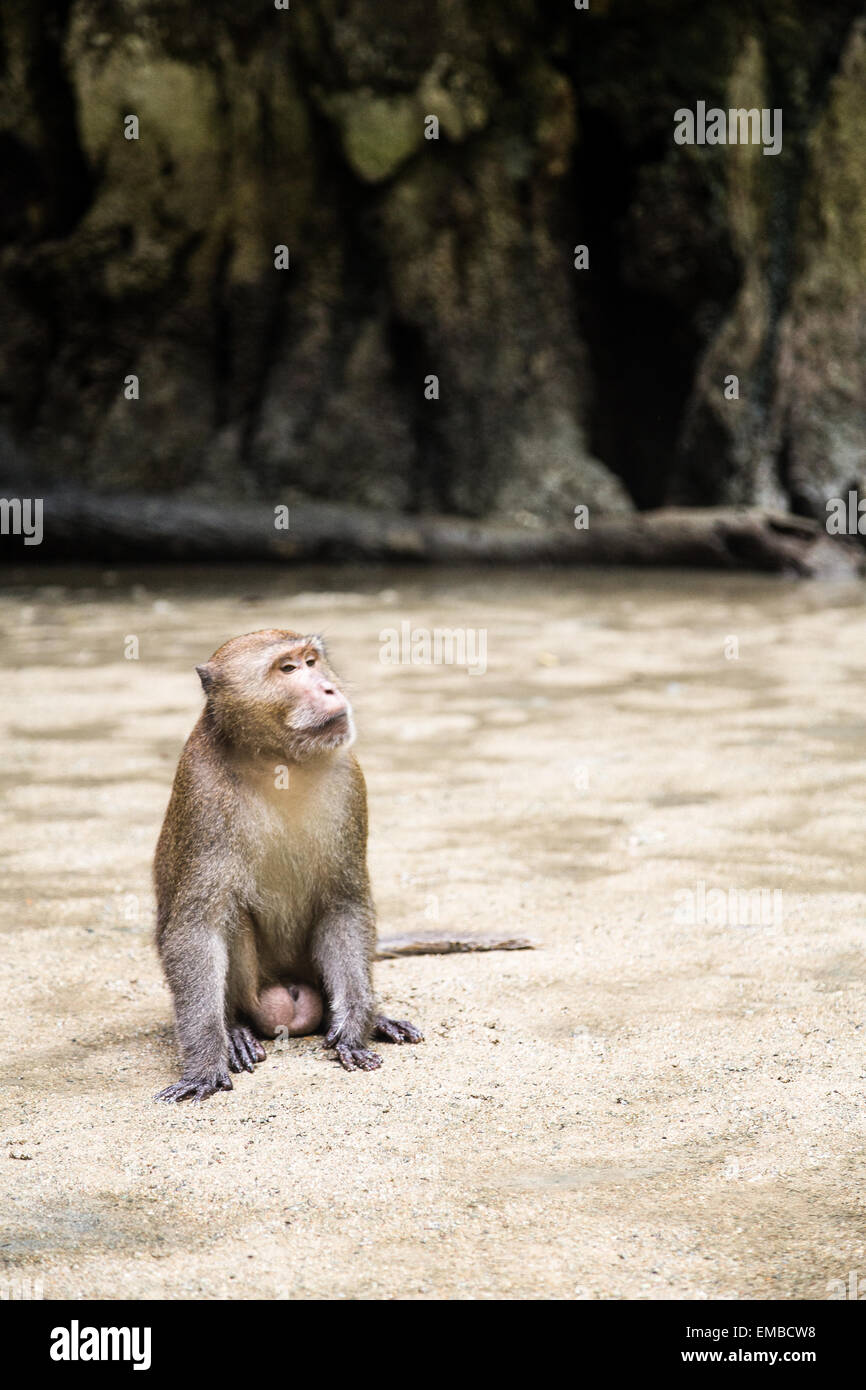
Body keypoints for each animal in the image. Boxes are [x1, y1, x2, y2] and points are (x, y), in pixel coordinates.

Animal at [153, 625, 422, 1100]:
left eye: (313, 661)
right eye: (289, 669)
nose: (329, 687)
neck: (278, 761)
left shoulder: (349, 776)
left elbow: (344, 904)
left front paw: (353, 1028)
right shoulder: (202, 789)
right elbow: (196, 928)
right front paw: (204, 1063)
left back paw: (371, 1018)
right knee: (233, 916)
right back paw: (236, 1029)